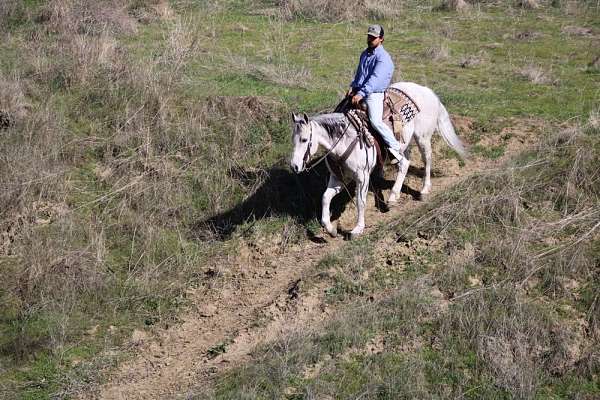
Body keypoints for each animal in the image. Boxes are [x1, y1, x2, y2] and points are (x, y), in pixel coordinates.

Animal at [292, 81, 468, 238]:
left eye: (304, 140)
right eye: (293, 140)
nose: (294, 166)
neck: (345, 139)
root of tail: (427, 91)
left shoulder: (362, 177)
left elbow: (360, 201)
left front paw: (357, 229)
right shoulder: (338, 177)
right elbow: (325, 198)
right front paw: (330, 229)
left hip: (422, 138)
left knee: (426, 160)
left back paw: (423, 190)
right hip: (403, 144)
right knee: (404, 163)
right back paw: (393, 196)